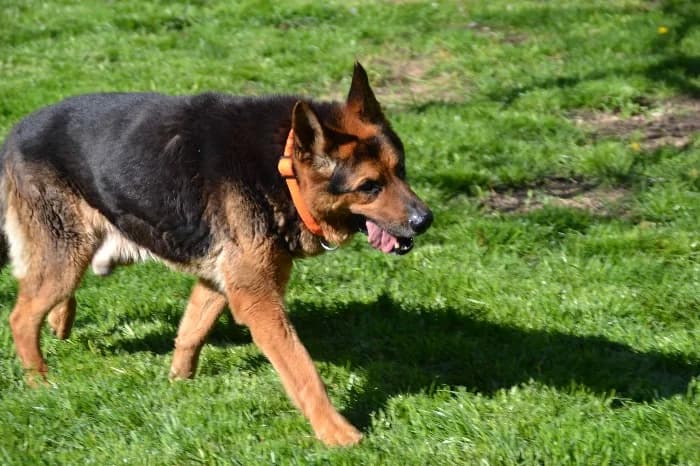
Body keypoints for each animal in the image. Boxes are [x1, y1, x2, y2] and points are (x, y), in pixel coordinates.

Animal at [0, 63, 432, 446]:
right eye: (370, 187)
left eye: (401, 170)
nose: (425, 220)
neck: (282, 169)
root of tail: (16, 130)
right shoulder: (258, 301)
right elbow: (302, 368)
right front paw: (336, 433)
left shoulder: (221, 282)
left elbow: (191, 331)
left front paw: (178, 383)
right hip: (67, 256)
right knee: (21, 317)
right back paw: (40, 381)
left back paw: (60, 325)